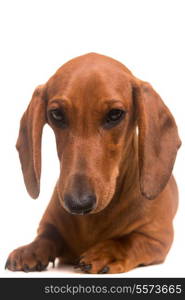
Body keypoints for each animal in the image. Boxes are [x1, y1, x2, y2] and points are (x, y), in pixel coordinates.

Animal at [5, 52, 181, 274]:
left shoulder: (156, 238)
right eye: (56, 114)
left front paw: (107, 252)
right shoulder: (48, 225)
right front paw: (31, 249)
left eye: (115, 114)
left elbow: (128, 241)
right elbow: (46, 236)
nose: (78, 204)